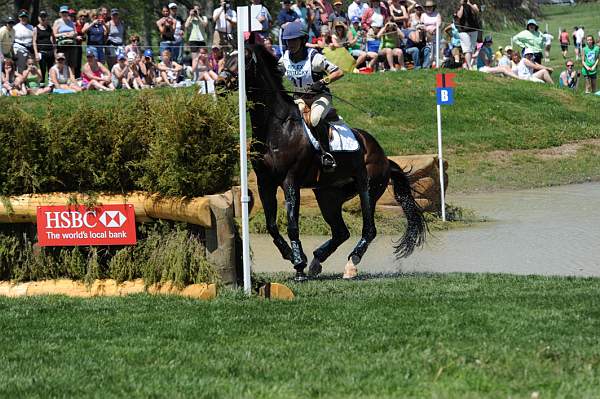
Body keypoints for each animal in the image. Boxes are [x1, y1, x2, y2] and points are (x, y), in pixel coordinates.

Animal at [224, 44, 426, 282]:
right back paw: (316, 261)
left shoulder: (290, 181)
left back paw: (350, 265)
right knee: (341, 231)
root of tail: (384, 157)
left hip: (367, 187)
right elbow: (271, 225)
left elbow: (292, 224)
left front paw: (298, 265)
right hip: (328, 196)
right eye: (226, 57)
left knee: (369, 229)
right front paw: (293, 256)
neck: (277, 126)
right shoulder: (266, 182)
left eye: (242, 59)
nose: (220, 82)